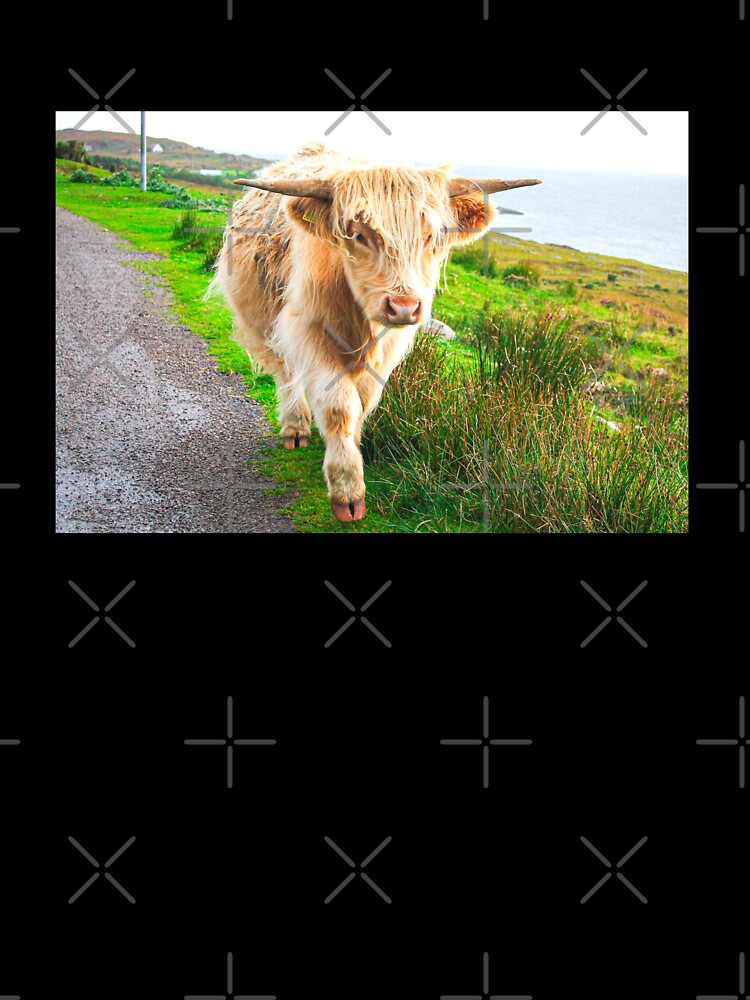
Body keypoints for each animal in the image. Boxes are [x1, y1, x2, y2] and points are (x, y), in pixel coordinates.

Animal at [212, 143, 540, 522]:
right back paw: (295, 428)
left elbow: (363, 402)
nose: (403, 306)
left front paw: (352, 448)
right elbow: (339, 407)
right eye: (359, 234)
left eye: (430, 236)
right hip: (264, 323)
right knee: (286, 374)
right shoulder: (309, 330)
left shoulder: (389, 346)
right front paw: (347, 489)